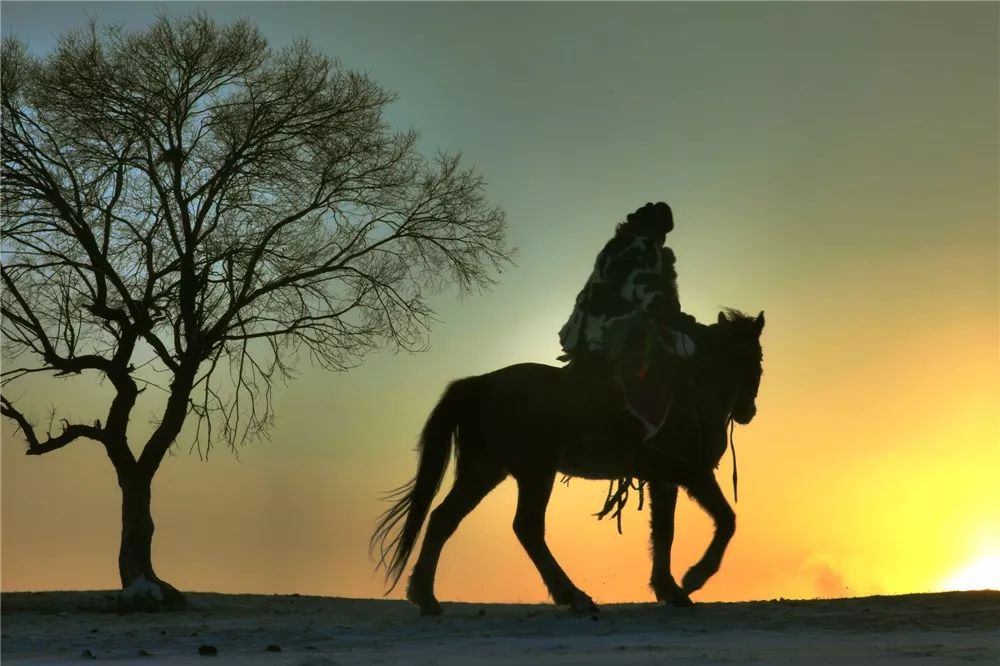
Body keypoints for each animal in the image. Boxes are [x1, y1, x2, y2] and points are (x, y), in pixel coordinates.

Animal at [370, 308, 764, 616]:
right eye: (757, 360)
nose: (747, 411)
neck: (692, 394)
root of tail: (480, 384)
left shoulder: (663, 479)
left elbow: (664, 533)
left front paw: (669, 588)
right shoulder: (692, 473)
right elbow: (726, 520)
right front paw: (695, 577)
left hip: (484, 471)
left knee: (442, 519)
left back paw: (425, 596)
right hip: (534, 472)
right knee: (527, 528)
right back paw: (574, 596)